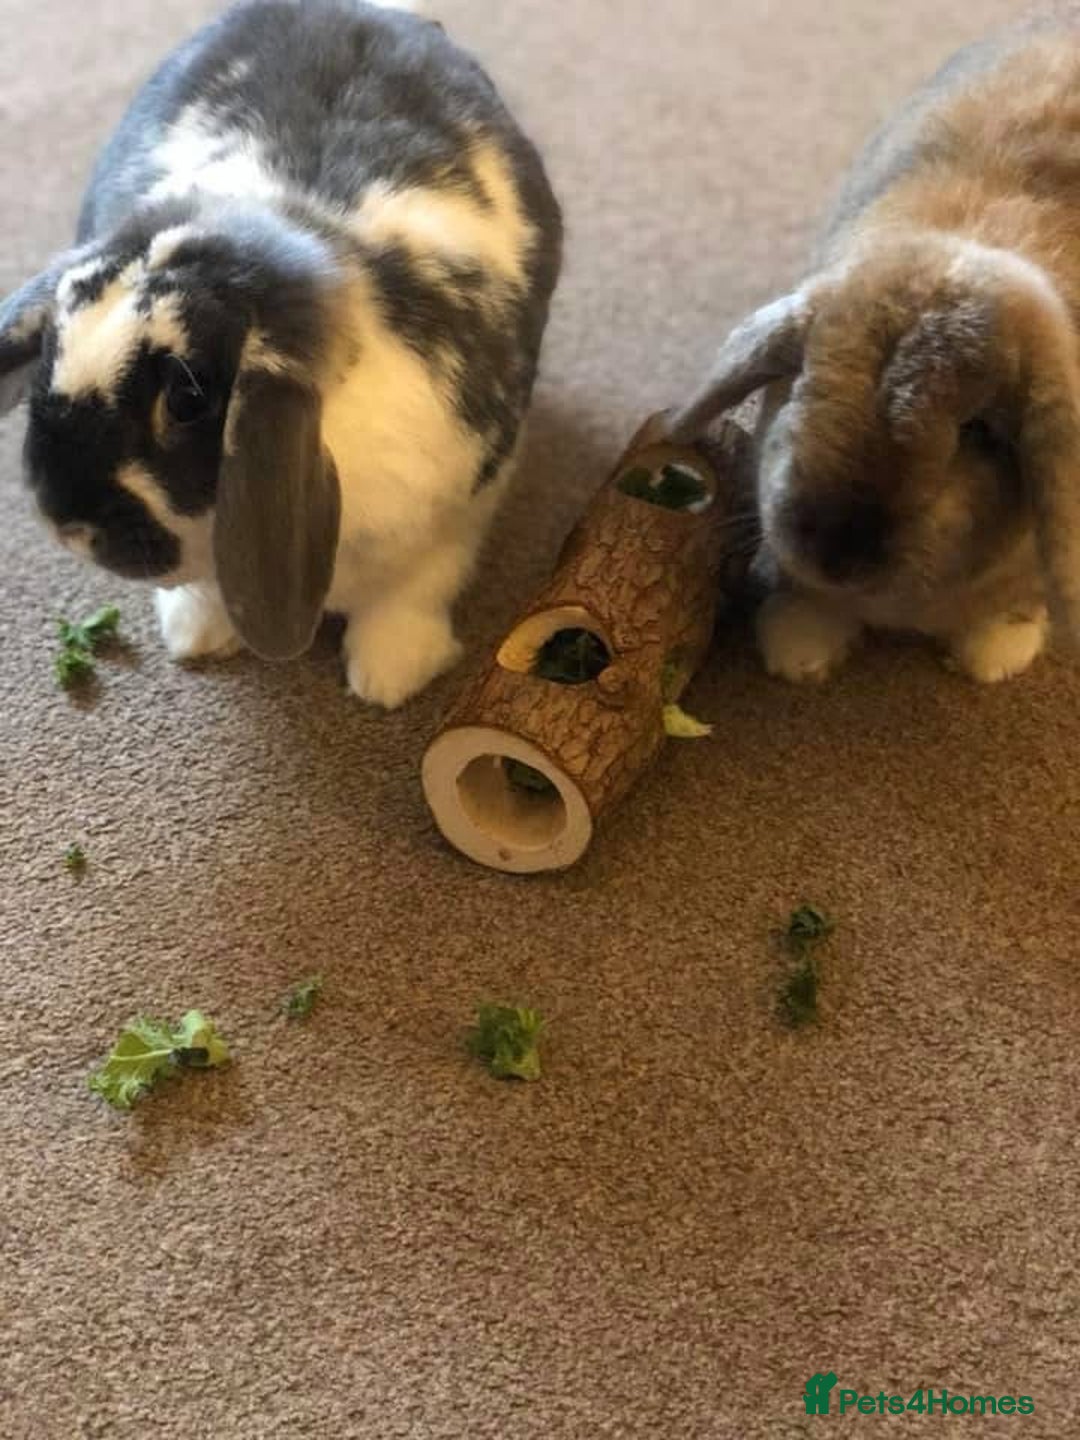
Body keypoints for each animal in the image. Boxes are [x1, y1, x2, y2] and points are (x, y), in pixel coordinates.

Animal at [1, 0, 562, 707]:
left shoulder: (453, 517)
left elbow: (414, 592)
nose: (64, 523)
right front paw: (197, 634)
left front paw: (389, 678)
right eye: (53, 341)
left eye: (186, 399)